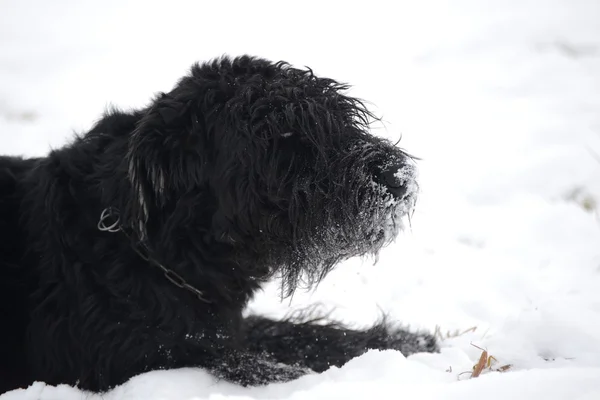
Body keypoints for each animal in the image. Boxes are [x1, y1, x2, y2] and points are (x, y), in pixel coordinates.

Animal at [0, 56, 434, 394]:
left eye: (341, 115)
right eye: (277, 137)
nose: (395, 176)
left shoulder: (223, 328)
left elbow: (301, 334)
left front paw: (408, 341)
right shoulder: (147, 359)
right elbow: (271, 365)